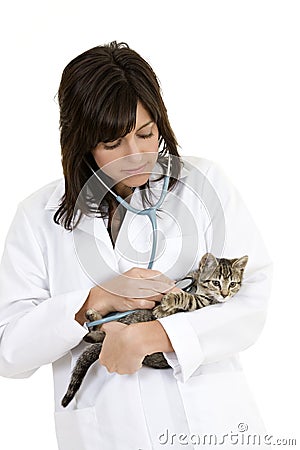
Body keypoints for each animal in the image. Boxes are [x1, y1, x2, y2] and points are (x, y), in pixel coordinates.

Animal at [61, 253, 248, 408]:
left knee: (105, 335)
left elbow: (186, 298)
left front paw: (166, 304)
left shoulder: (201, 304)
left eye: (233, 284)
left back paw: (93, 334)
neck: (198, 286)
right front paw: (163, 304)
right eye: (216, 282)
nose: (224, 294)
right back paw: (93, 318)